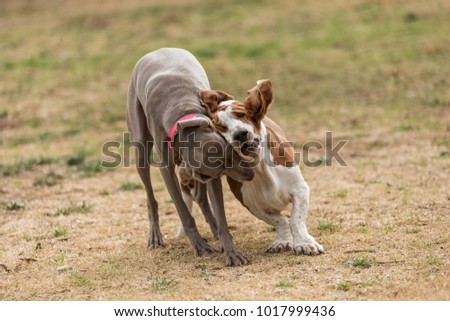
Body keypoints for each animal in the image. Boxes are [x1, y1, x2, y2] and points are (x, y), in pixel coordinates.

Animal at [127, 47, 253, 264]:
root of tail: (157, 50)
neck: (182, 111)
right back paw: (155, 235)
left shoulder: (209, 177)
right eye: (224, 167)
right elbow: (184, 212)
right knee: (151, 197)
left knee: (201, 198)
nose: (251, 174)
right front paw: (199, 244)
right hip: (140, 145)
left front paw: (230, 250)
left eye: (232, 154)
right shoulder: (171, 171)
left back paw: (213, 229)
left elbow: (220, 215)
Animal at [179, 79, 324, 255]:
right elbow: (281, 220)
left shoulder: (300, 190)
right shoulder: (253, 205)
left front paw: (304, 244)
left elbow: (296, 219)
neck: (260, 166)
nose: (240, 134)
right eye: (221, 127)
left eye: (242, 115)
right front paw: (283, 241)